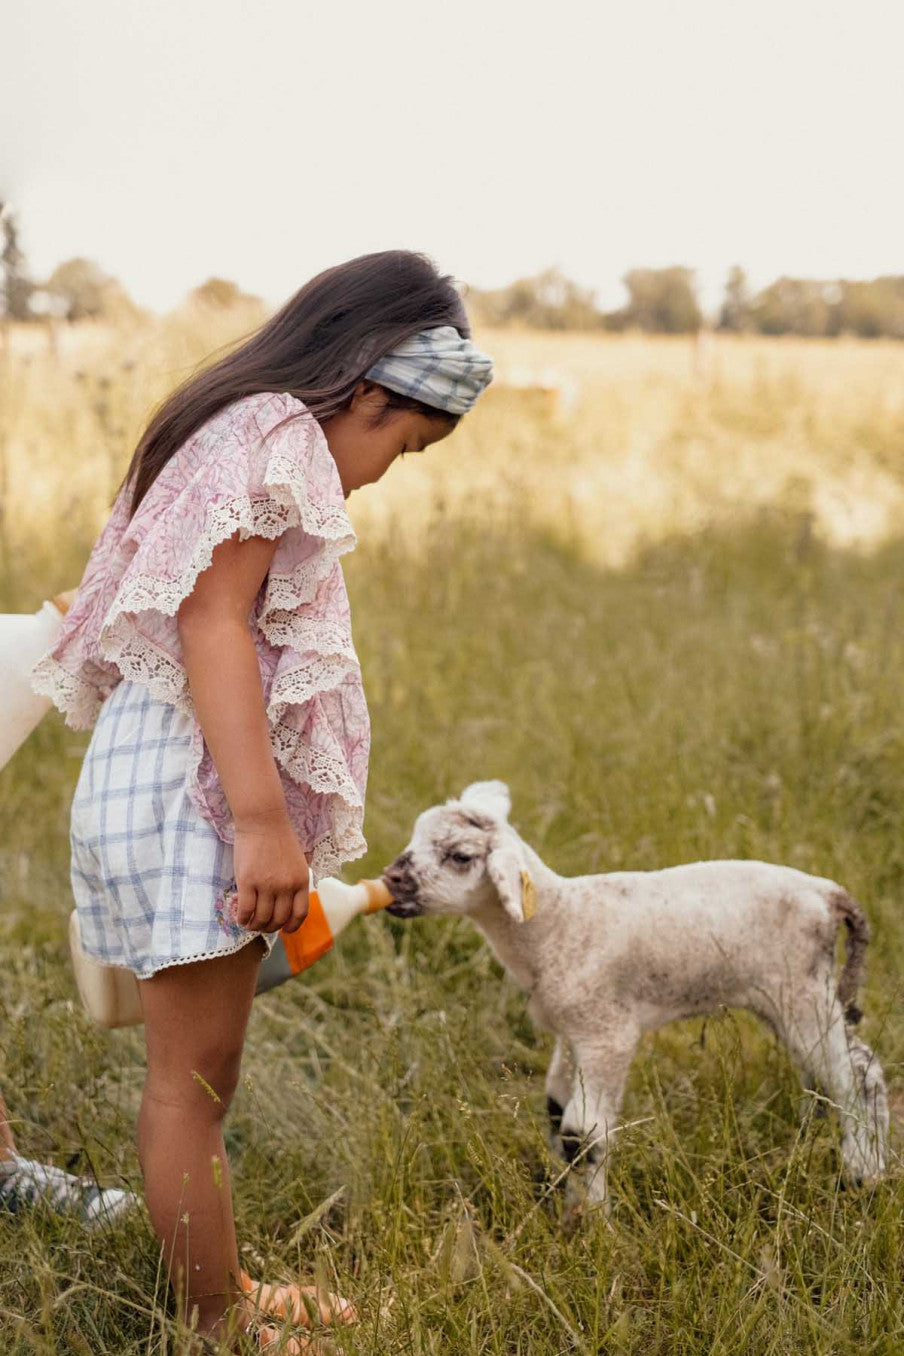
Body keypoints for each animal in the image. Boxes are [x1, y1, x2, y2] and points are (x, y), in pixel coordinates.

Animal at [384, 781, 889, 1214]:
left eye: (460, 856)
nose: (390, 879)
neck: (556, 925)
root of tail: (827, 893)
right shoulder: (573, 1031)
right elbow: (556, 1115)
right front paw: (567, 1208)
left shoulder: (607, 1033)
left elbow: (583, 1136)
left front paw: (590, 1228)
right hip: (799, 995)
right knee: (861, 1064)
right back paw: (869, 1165)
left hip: (799, 991)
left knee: (850, 1079)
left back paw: (860, 1174)